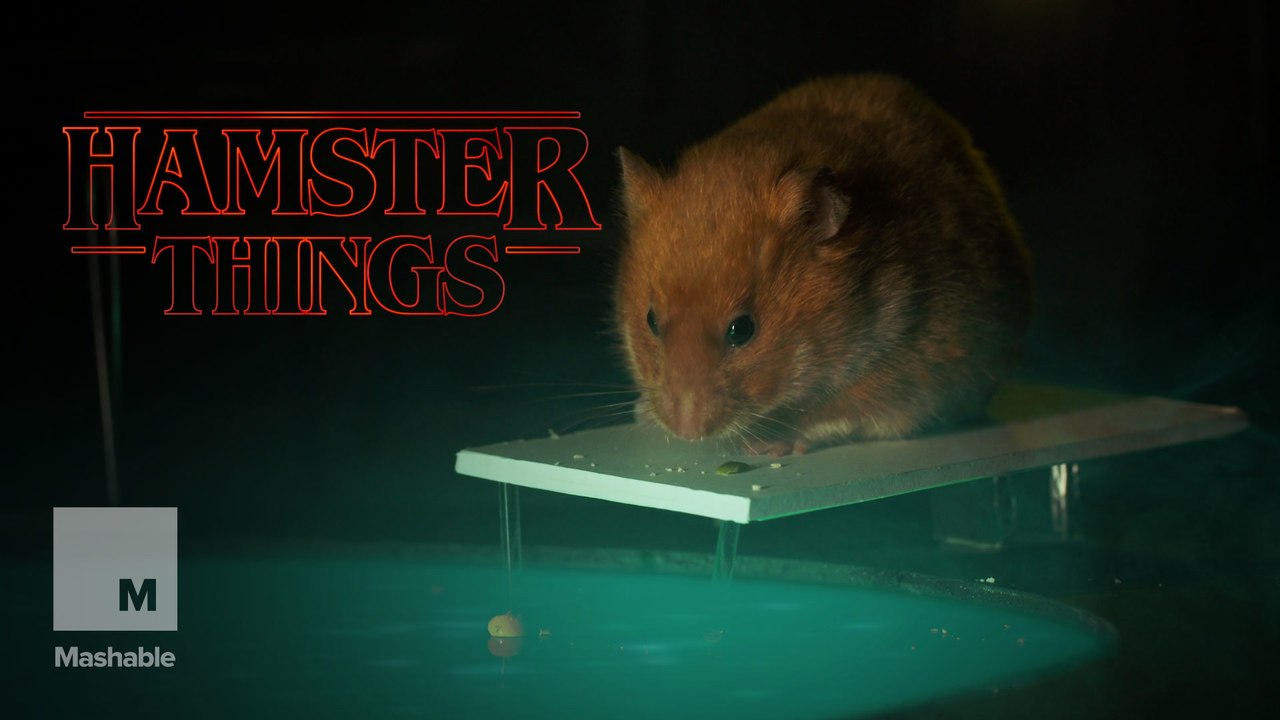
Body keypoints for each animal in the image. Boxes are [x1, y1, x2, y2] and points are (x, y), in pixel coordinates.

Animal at [614, 75, 1033, 455]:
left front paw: (773, 444)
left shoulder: (903, 375)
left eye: (742, 330)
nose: (687, 431)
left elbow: (834, 418)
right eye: (651, 321)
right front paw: (643, 414)